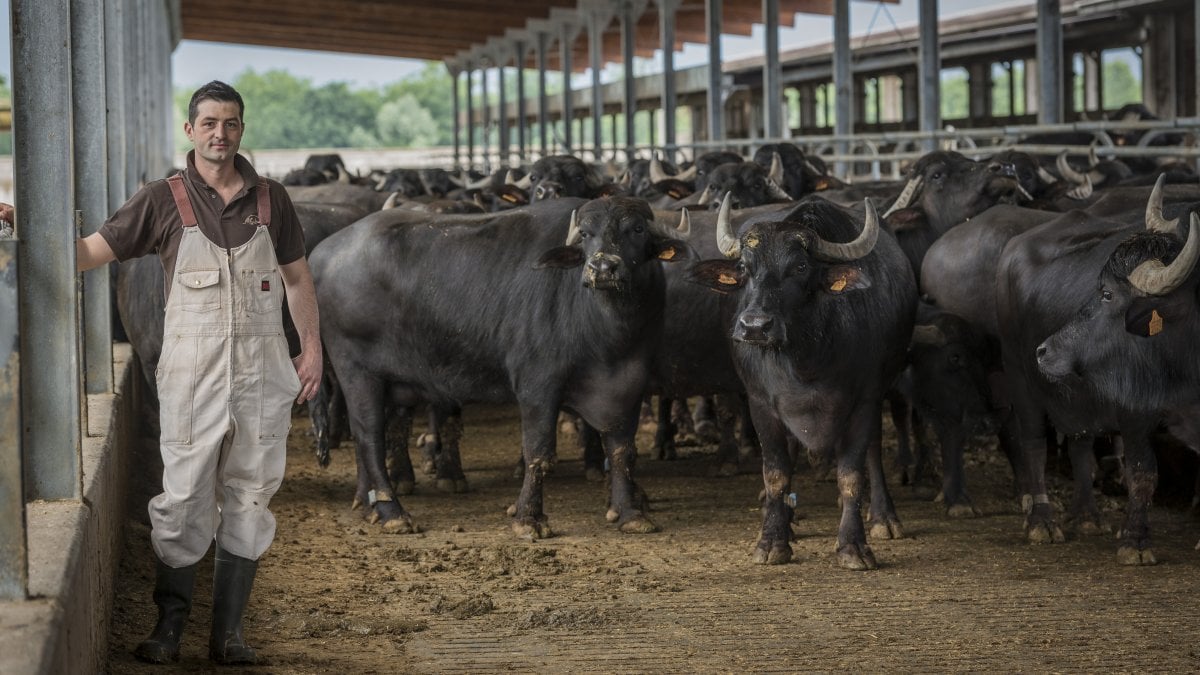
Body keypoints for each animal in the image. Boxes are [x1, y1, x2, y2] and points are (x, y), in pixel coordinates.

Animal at [309, 194, 691, 535]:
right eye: (585, 233)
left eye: (637, 229)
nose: (602, 267)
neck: (606, 334)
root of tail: (322, 255)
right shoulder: (538, 386)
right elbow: (539, 453)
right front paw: (529, 519)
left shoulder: (629, 386)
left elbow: (623, 450)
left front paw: (630, 514)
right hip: (357, 371)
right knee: (369, 434)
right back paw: (392, 513)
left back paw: (367, 503)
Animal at [691, 194, 912, 566]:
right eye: (745, 268)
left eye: (799, 268)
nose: (754, 326)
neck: (805, 360)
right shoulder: (761, 404)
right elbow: (776, 474)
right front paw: (772, 541)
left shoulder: (865, 401)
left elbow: (851, 475)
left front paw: (853, 546)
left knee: (873, 451)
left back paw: (884, 517)